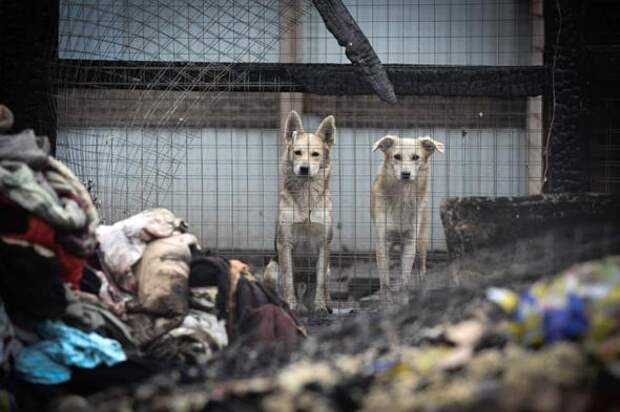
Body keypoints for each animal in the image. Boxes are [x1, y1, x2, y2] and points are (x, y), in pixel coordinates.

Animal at [276, 110, 334, 312]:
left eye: (315, 154)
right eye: (297, 152)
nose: (304, 168)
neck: (306, 196)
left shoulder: (324, 244)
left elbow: (320, 282)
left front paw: (320, 306)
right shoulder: (284, 243)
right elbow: (288, 278)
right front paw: (290, 304)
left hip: (329, 269)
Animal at [370, 134, 444, 302]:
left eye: (416, 157)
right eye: (397, 156)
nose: (405, 174)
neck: (402, 198)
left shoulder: (411, 242)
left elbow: (405, 281)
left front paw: (404, 301)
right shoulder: (382, 243)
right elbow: (385, 282)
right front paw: (386, 302)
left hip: (421, 242)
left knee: (421, 270)